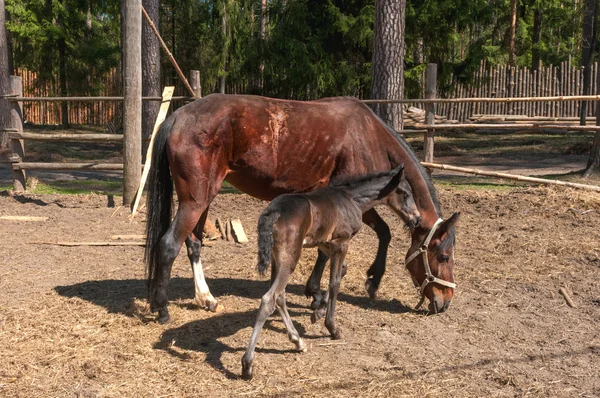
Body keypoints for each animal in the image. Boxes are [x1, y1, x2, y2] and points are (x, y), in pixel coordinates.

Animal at [145, 93, 460, 324]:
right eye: (443, 256)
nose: (444, 302)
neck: (368, 136)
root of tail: (177, 117)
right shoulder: (354, 199)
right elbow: (383, 233)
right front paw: (370, 281)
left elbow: (328, 247)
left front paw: (315, 292)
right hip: (196, 200)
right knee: (170, 244)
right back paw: (162, 309)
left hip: (204, 199)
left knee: (194, 242)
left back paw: (205, 298)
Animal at [241, 165, 414, 380]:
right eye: (405, 193)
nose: (415, 220)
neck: (351, 198)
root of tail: (273, 212)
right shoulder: (342, 241)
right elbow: (335, 281)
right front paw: (332, 327)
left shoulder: (325, 242)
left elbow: (342, 270)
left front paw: (318, 310)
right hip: (289, 258)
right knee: (269, 299)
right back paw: (247, 364)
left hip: (277, 259)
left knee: (279, 296)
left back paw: (298, 341)